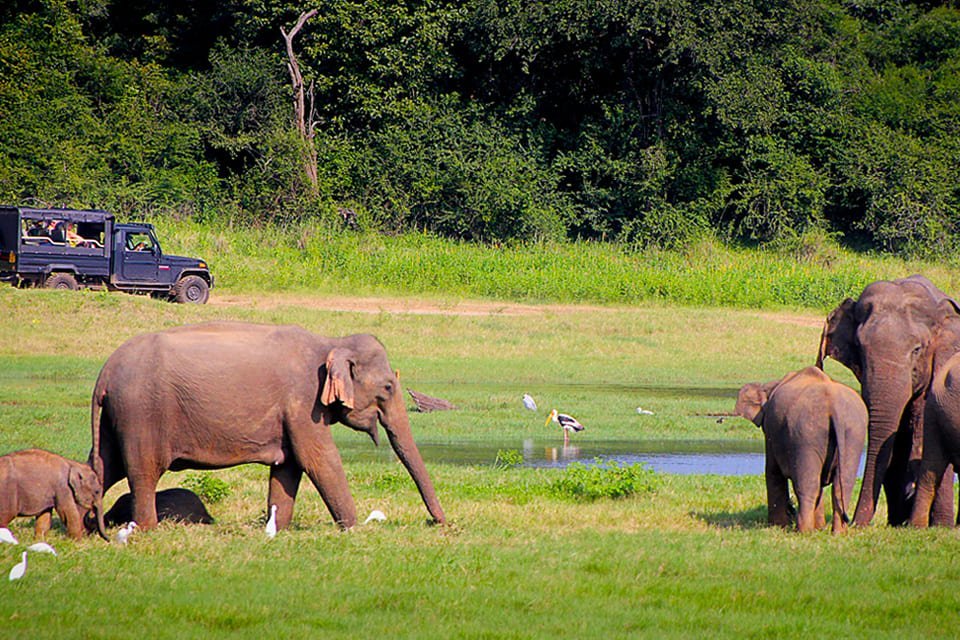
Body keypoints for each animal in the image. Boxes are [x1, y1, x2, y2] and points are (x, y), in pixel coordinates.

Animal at [90, 324, 446, 528]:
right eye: (387, 387)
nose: (439, 523)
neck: (331, 342)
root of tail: (104, 373)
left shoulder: (293, 413)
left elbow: (288, 467)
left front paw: (278, 529)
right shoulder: (303, 402)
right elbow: (318, 459)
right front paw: (355, 528)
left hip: (117, 417)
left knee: (103, 466)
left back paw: (89, 528)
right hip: (142, 414)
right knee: (143, 470)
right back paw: (146, 529)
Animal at [736, 368, 872, 532]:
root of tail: (834, 407)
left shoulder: (770, 430)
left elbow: (772, 471)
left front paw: (778, 526)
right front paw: (819, 527)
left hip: (806, 434)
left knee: (807, 485)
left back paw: (803, 531)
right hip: (853, 433)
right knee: (842, 485)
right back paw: (838, 533)